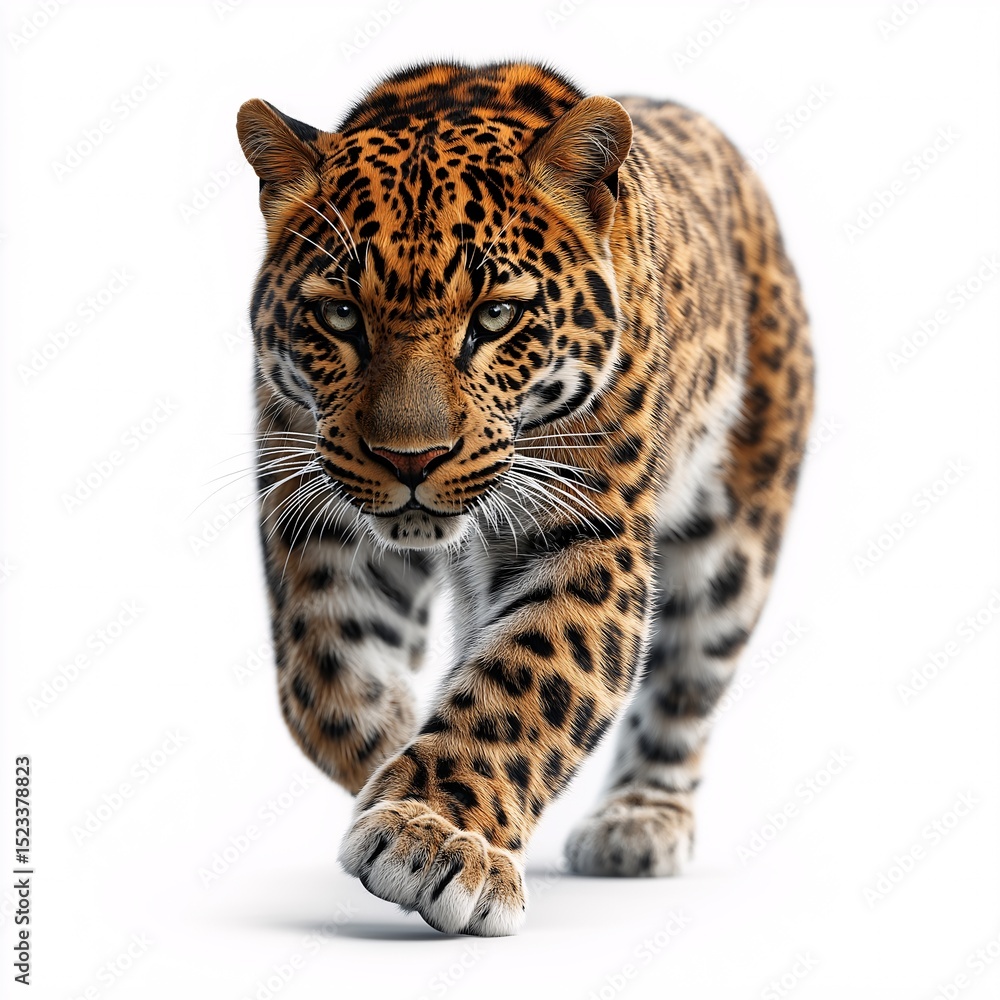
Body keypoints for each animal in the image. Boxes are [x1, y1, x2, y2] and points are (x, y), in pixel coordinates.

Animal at [235, 60, 814, 937]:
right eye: (339, 315)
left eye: (497, 316)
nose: (412, 459)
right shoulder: (317, 510)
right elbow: (324, 682)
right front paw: (390, 765)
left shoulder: (589, 532)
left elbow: (524, 682)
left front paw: (431, 833)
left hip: (737, 535)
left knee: (689, 678)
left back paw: (638, 823)